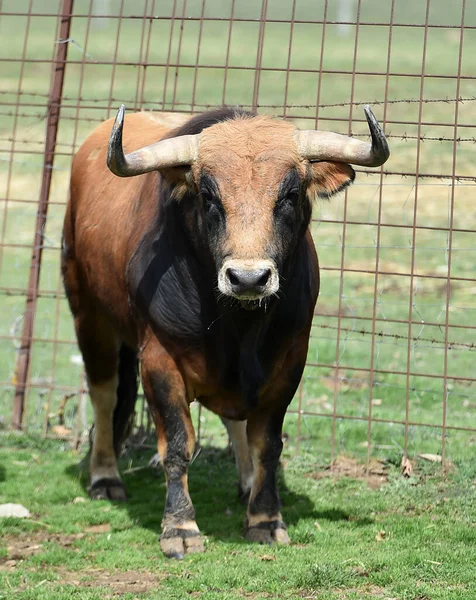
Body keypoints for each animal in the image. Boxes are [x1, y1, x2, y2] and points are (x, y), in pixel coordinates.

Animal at [61, 105, 388, 560]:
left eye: (290, 194)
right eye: (208, 196)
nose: (248, 278)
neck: (238, 326)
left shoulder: (289, 361)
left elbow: (267, 443)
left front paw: (265, 518)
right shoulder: (159, 361)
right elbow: (177, 444)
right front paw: (180, 527)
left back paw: (247, 483)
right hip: (88, 315)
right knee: (104, 397)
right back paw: (105, 477)